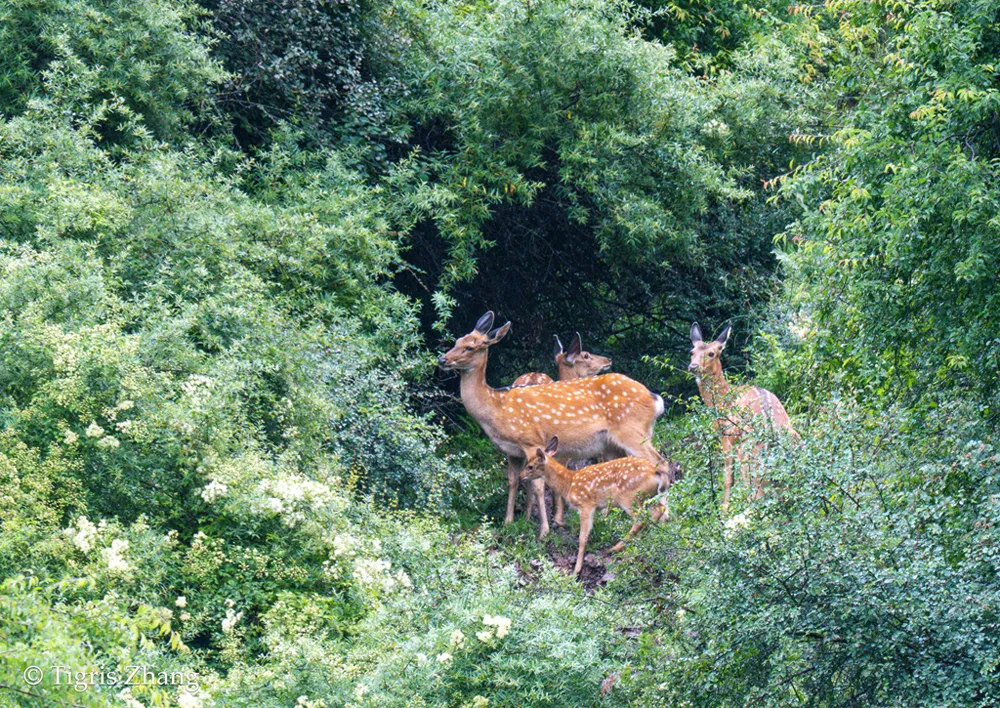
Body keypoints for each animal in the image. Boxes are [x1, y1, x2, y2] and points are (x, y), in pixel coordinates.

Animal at [440, 310, 668, 536]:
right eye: (457, 341)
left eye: (470, 347)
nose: (443, 359)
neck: (496, 406)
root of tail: (655, 399)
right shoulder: (511, 450)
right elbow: (513, 480)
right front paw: (508, 523)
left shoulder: (532, 441)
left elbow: (538, 485)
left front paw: (544, 530)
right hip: (613, 443)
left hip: (633, 431)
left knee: (661, 462)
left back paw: (664, 516)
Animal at [520, 436, 676, 576]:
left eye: (530, 466)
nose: (521, 476)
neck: (569, 484)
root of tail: (656, 472)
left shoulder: (586, 504)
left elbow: (583, 536)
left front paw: (576, 570)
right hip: (648, 496)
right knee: (657, 510)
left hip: (628, 497)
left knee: (640, 518)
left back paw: (615, 548)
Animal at [688, 322, 796, 516]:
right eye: (692, 351)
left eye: (711, 353)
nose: (692, 366)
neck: (723, 401)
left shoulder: (726, 436)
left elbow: (728, 478)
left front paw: (723, 511)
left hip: (748, 455)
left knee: (755, 494)